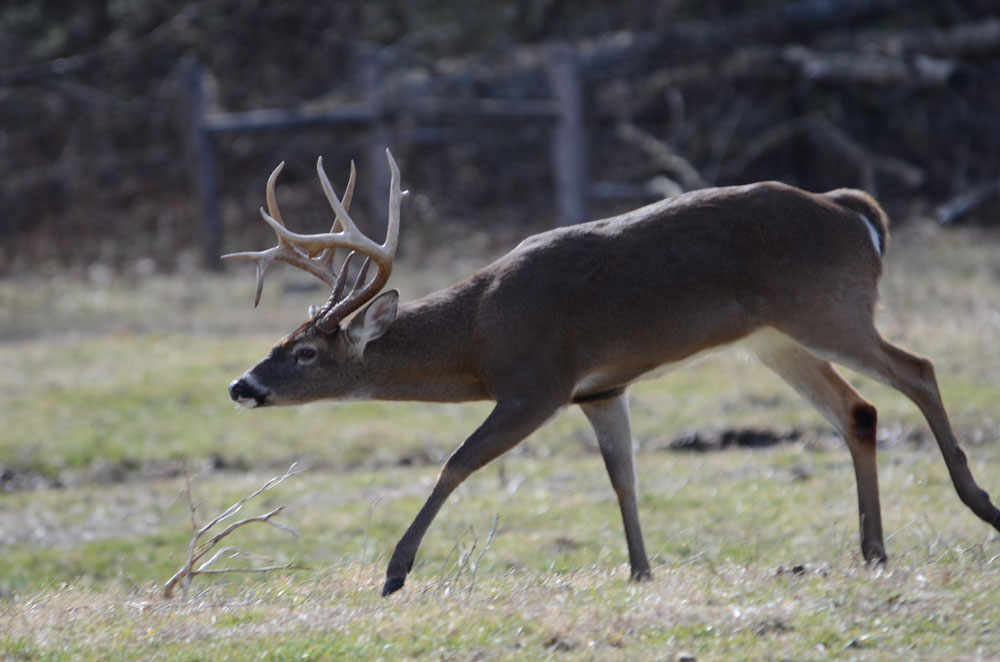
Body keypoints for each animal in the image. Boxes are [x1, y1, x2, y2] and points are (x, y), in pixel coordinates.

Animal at [227, 149, 1000, 596]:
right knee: (859, 410)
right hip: (775, 337)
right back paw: (872, 549)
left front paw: (395, 570)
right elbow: (622, 475)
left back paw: (977, 502)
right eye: (283, 338)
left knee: (919, 368)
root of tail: (855, 211)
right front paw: (641, 568)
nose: (242, 385)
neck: (480, 332)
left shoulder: (538, 382)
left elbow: (457, 461)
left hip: (827, 308)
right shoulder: (601, 387)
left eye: (305, 352)